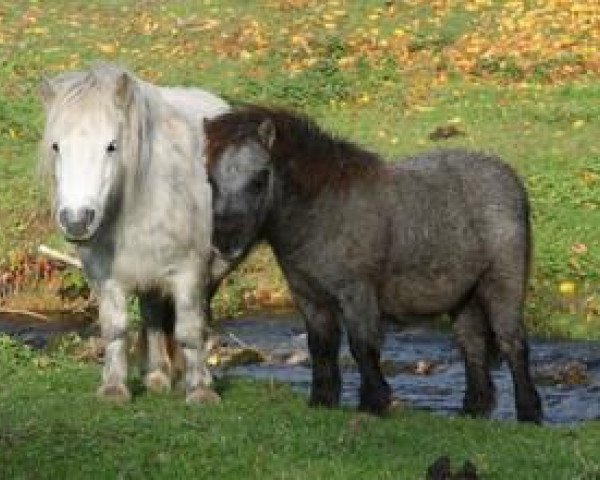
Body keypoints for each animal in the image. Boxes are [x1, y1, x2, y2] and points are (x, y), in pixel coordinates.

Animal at [38, 62, 230, 404]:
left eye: (111, 146)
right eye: (56, 146)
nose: (76, 221)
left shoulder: (190, 272)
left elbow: (190, 330)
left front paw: (200, 391)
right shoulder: (107, 277)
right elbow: (115, 330)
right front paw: (114, 388)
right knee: (153, 317)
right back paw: (157, 375)